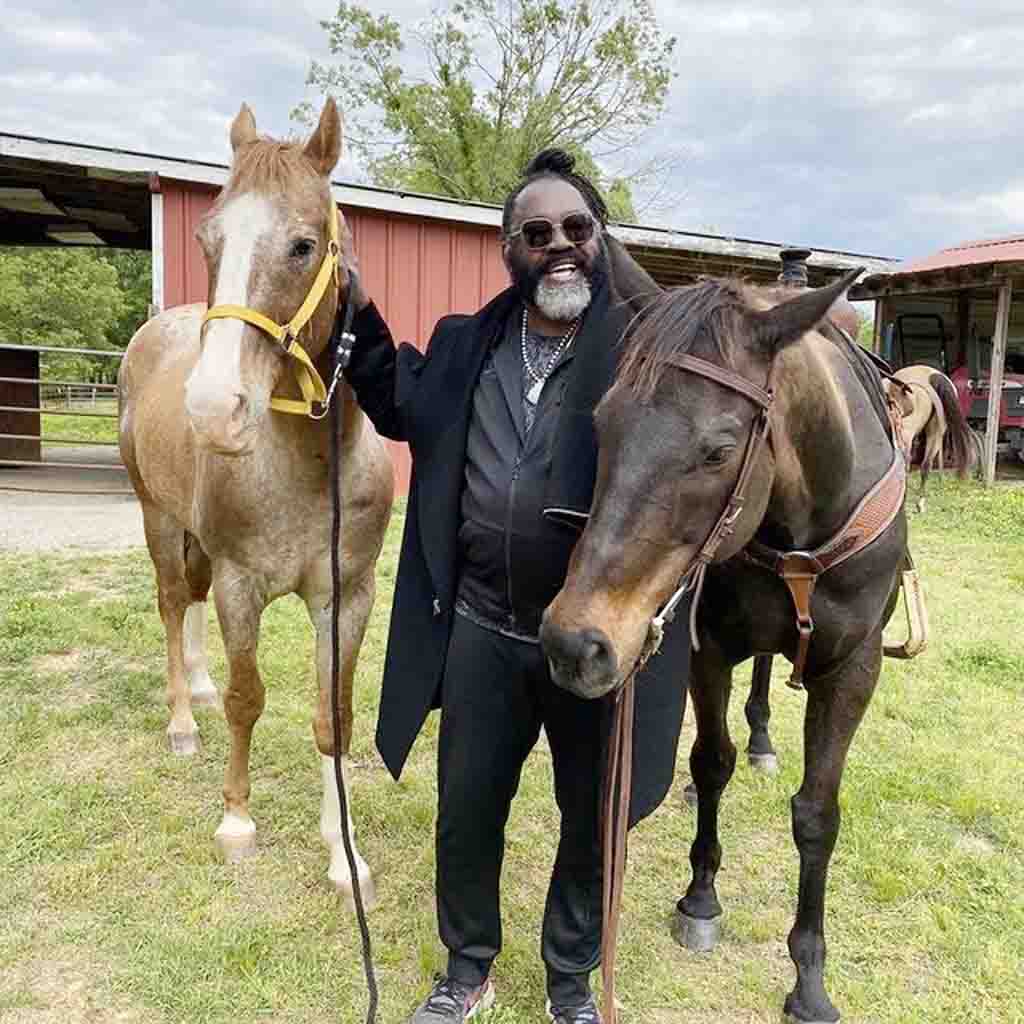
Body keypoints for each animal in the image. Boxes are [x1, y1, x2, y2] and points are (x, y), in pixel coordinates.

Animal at [117, 101, 391, 905]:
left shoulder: (347, 595)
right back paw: (184, 718)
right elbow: (249, 699)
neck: (308, 465)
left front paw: (344, 854)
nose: (213, 409)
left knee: (189, 599)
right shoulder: (243, 585)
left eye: (303, 245)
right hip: (156, 517)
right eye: (208, 241)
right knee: (172, 602)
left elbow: (334, 716)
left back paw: (199, 689)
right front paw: (236, 822)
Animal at [544, 272, 905, 1024]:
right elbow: (711, 764)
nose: (574, 643)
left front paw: (809, 978)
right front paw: (701, 899)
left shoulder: (854, 669)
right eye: (603, 423)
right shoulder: (706, 649)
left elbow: (817, 814)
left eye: (717, 450)